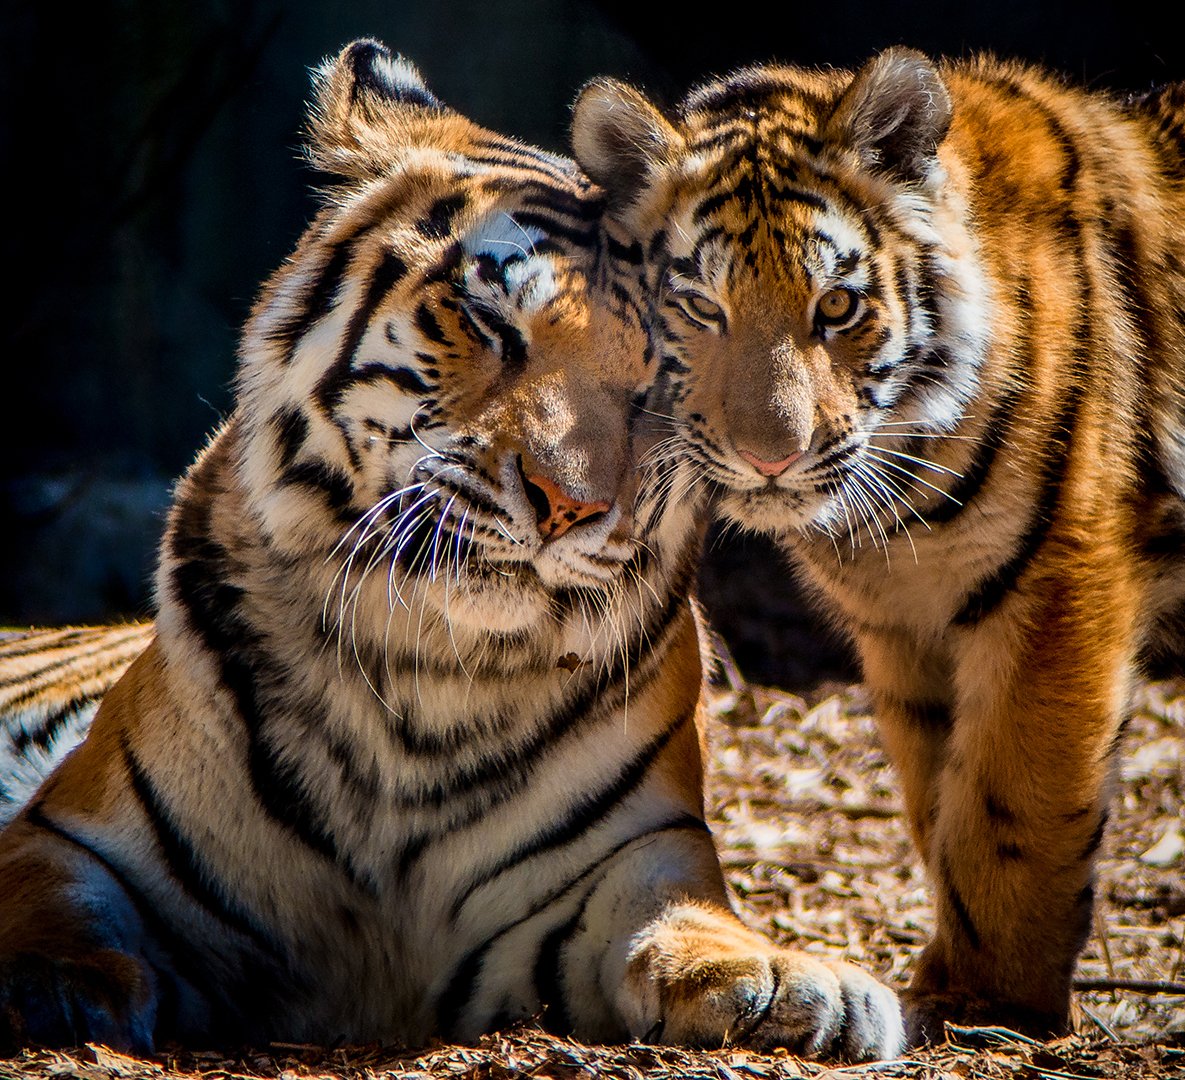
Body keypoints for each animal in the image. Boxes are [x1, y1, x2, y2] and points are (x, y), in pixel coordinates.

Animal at [0, 40, 903, 1060]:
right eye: (490, 324)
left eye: (658, 379)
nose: (568, 503)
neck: (431, 678)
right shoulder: (73, 833)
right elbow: (48, 904)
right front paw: (54, 980)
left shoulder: (633, 861)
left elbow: (693, 919)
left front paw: (796, 984)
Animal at [570, 49, 1185, 1041]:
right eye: (698, 306)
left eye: (837, 304)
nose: (770, 456)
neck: (898, 508)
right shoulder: (905, 631)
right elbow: (940, 796)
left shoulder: (1061, 586)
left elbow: (1012, 801)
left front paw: (989, 996)